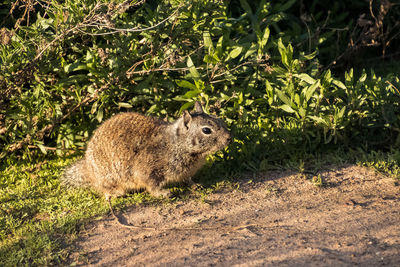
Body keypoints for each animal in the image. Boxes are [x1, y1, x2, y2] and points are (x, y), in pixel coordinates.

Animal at [62, 101, 231, 200]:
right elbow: (151, 185)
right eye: (206, 130)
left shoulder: (185, 172)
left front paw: (196, 185)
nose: (229, 138)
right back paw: (116, 193)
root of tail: (88, 169)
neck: (177, 144)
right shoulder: (148, 171)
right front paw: (164, 193)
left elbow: (187, 179)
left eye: (218, 119)